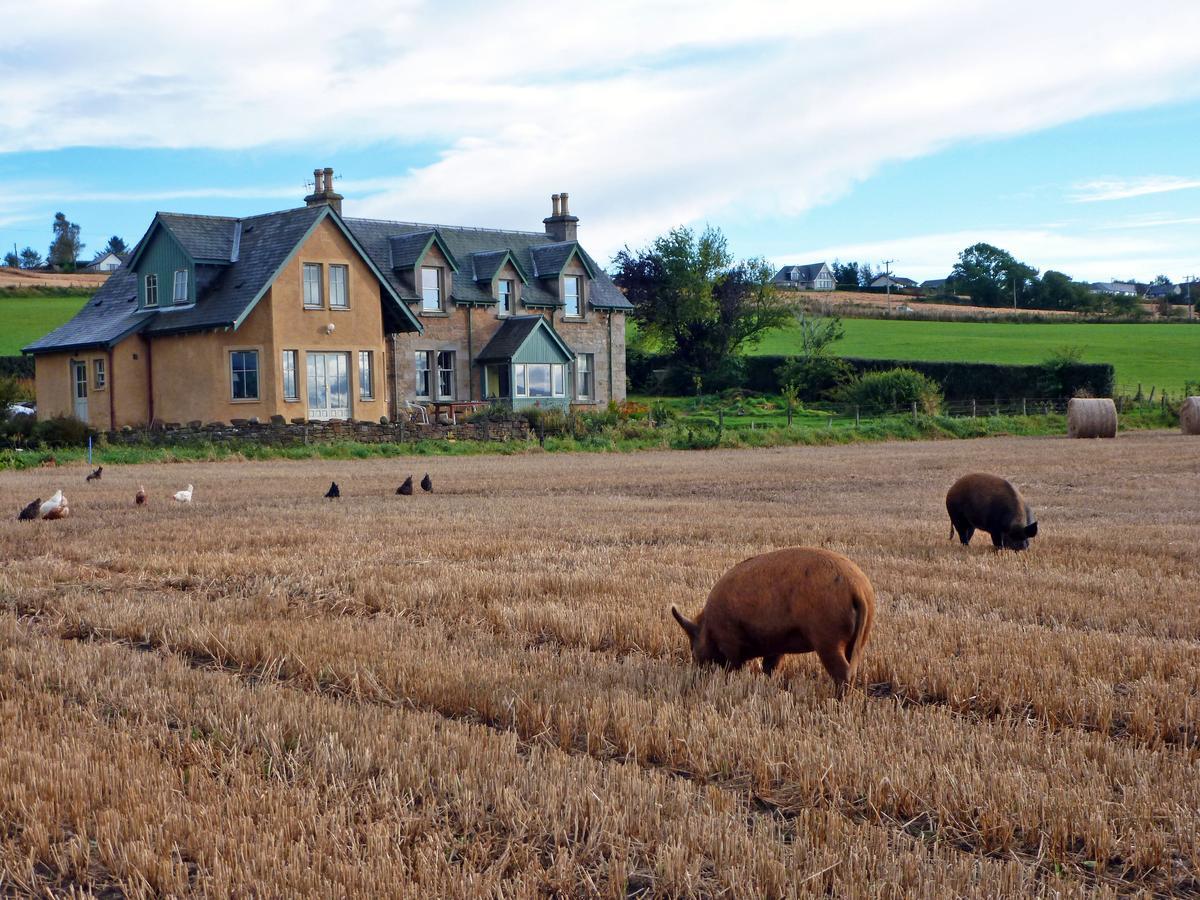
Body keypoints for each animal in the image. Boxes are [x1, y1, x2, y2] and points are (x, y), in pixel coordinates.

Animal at [672, 549, 878, 696]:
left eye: (694, 648)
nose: (696, 673)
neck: (708, 626)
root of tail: (857, 588)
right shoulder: (776, 644)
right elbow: (770, 667)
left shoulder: (729, 640)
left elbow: (734, 667)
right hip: (861, 637)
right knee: (852, 667)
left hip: (828, 638)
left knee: (843, 672)